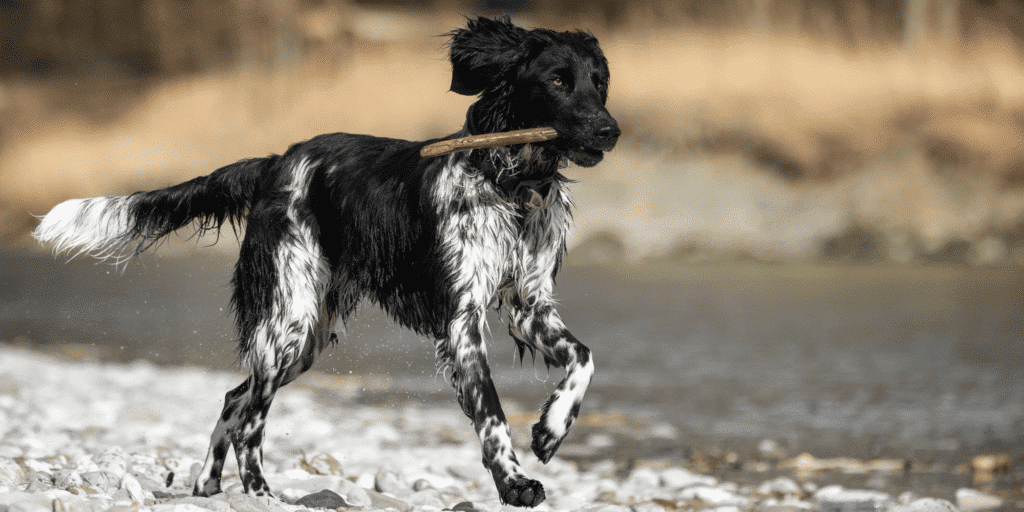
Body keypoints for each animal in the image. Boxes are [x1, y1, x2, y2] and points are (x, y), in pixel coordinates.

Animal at [34, 16, 614, 507]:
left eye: (599, 82)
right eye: (558, 80)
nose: (611, 130)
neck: (511, 184)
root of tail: (275, 163)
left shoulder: (529, 305)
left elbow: (584, 358)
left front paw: (551, 428)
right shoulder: (461, 317)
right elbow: (491, 414)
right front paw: (515, 482)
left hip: (307, 334)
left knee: (234, 399)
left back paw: (209, 483)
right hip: (289, 321)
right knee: (250, 419)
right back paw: (260, 493)